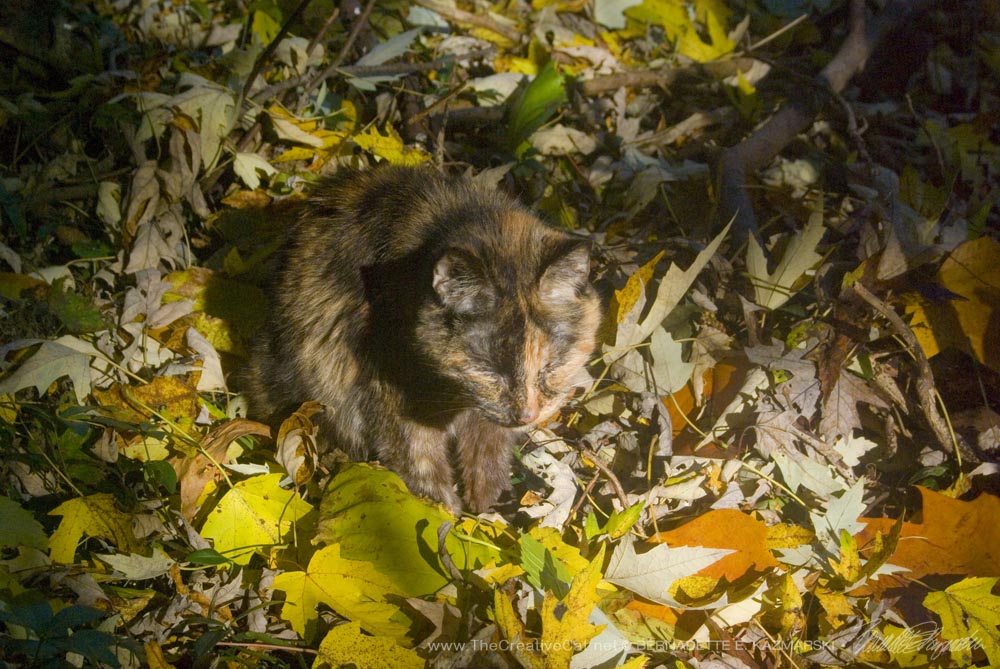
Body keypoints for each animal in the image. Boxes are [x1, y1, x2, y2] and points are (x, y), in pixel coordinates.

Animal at [245, 164, 596, 508]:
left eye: (551, 366)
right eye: (489, 369)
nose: (527, 415)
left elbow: (488, 452)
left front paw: (484, 504)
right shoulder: (388, 392)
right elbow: (420, 463)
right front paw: (449, 514)